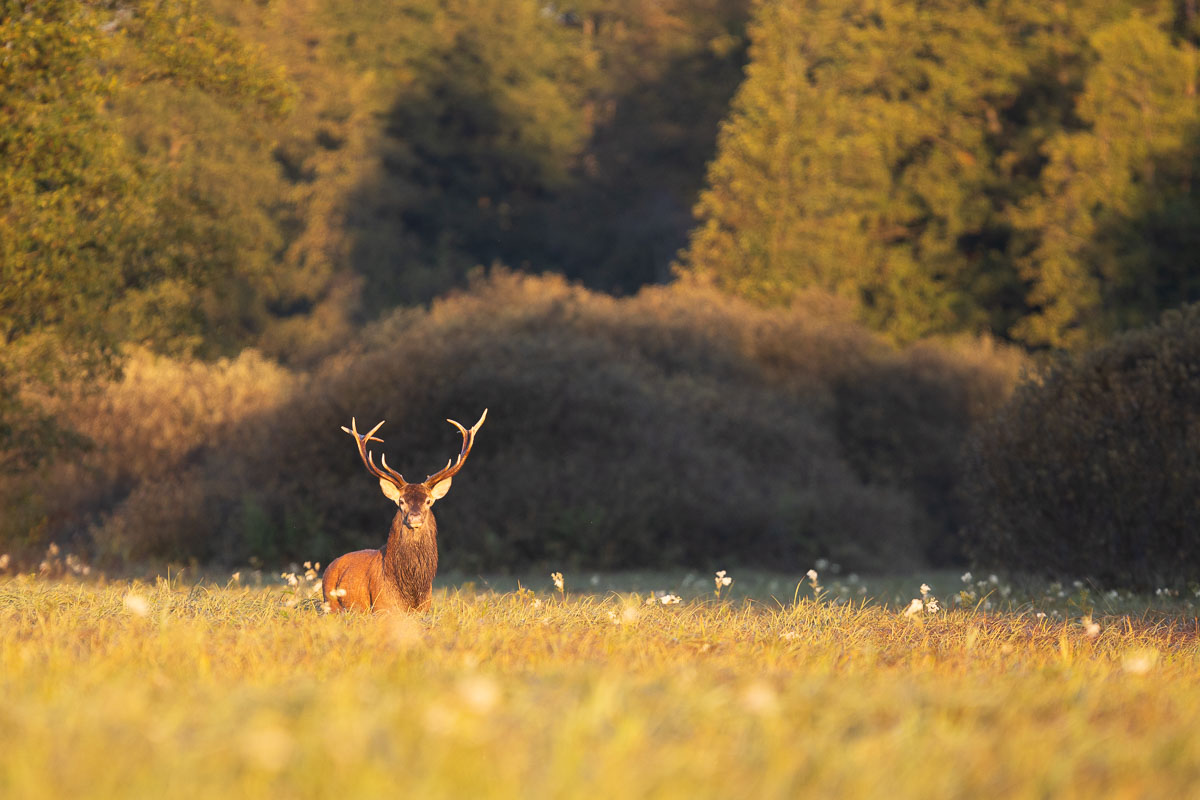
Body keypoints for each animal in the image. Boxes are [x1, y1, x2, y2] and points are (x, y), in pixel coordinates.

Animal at [324, 410, 487, 618]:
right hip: (329, 600)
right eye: (401, 502)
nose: (414, 518)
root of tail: (331, 565)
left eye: (428, 501)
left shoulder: (425, 608)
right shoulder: (382, 607)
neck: (411, 590)